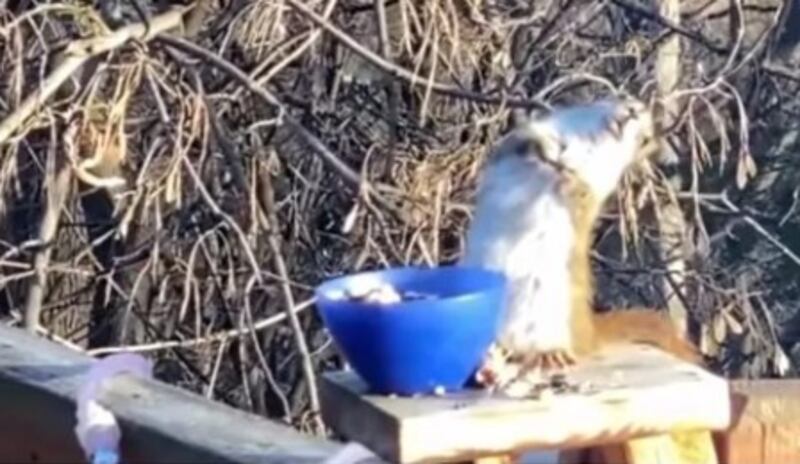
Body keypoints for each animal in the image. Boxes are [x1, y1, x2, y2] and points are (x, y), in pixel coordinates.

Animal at [460, 97, 700, 385]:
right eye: (626, 100)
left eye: (645, 139)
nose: (633, 112)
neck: (580, 145)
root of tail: (587, 332)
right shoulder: (531, 136)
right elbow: (526, 147)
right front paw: (547, 158)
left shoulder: (597, 180)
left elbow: (581, 191)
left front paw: (566, 180)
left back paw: (547, 357)